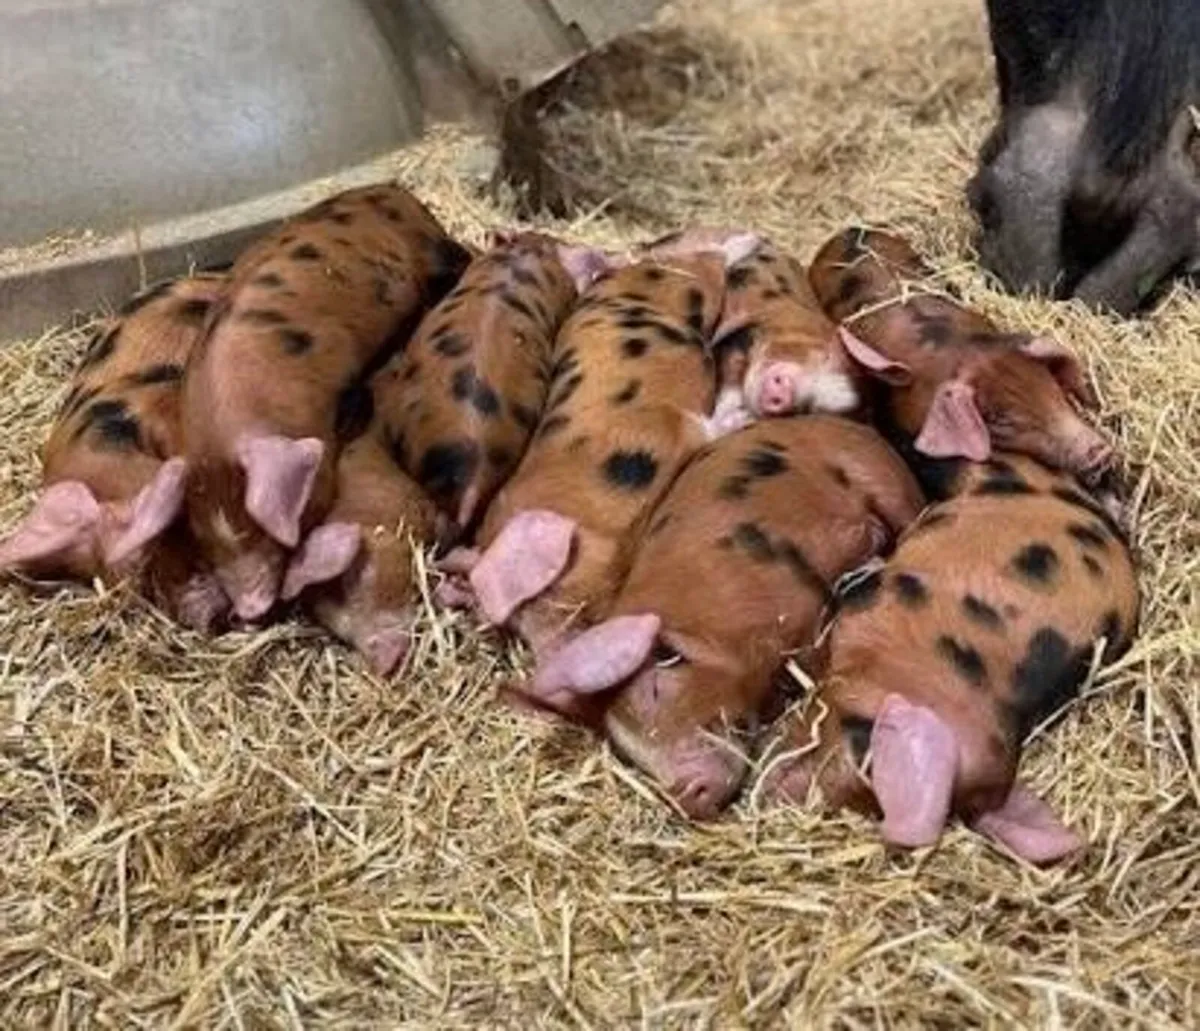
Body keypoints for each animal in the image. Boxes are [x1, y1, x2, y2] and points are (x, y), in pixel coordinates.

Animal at [440, 232, 761, 659]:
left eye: (534, 599)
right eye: (516, 630)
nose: (551, 655)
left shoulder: (660, 430)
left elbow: (703, 425)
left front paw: (743, 414)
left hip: (690, 278)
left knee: (708, 258)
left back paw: (750, 242)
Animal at [516, 416, 925, 818]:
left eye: (655, 688)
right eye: (626, 755)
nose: (683, 795)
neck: (712, 634)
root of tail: (851, 425)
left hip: (879, 474)